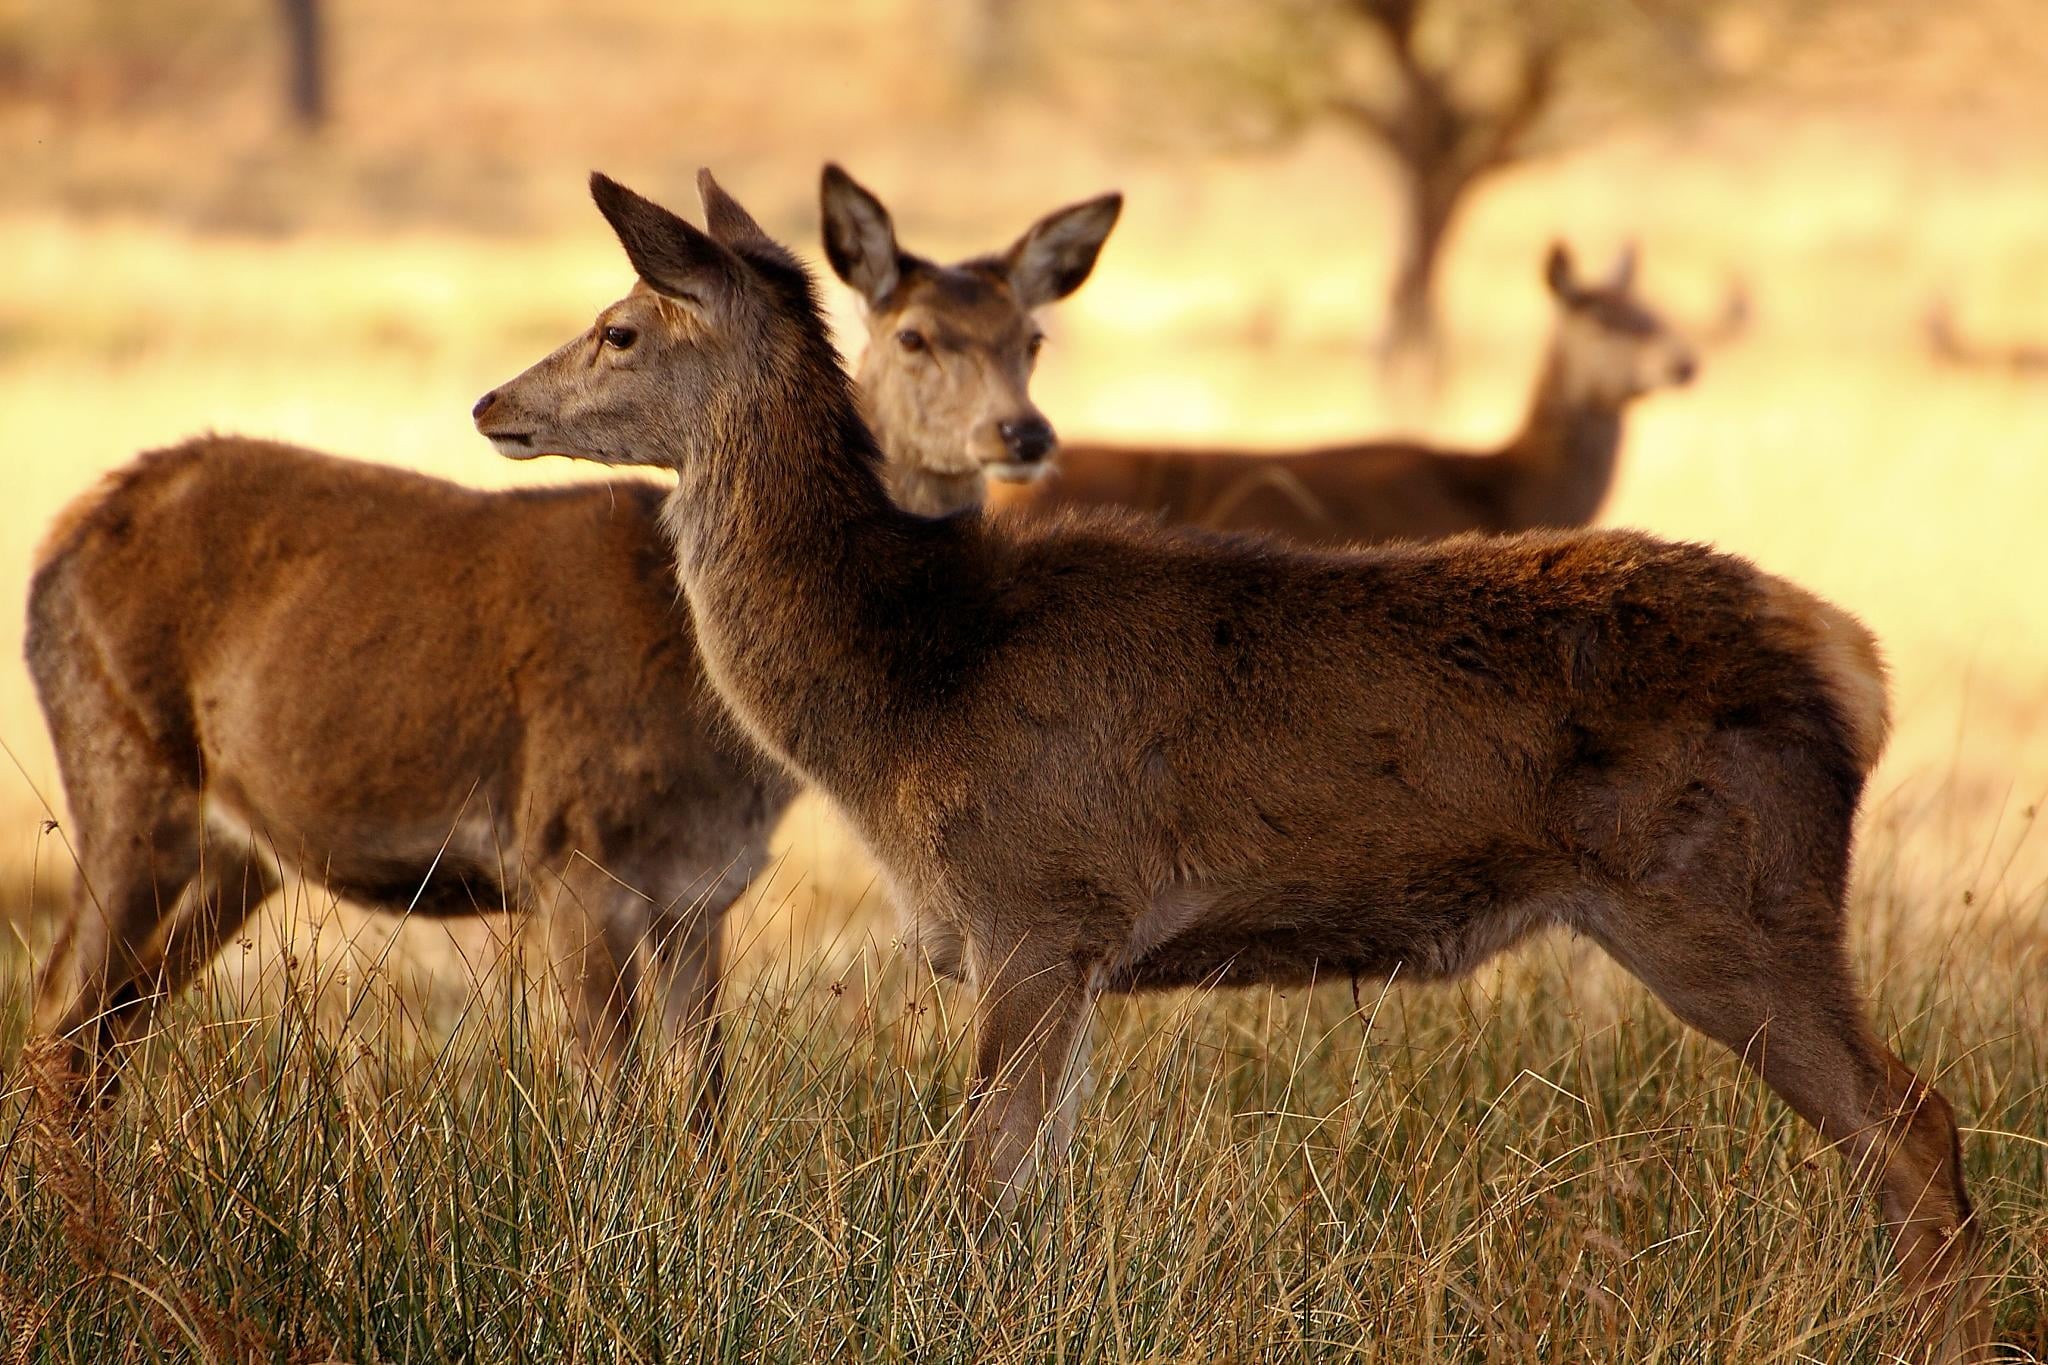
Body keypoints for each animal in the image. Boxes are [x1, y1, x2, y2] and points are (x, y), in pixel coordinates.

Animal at [21, 164, 1119, 1120]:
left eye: (1030, 339)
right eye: (914, 337)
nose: (490, 401)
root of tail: (61, 535)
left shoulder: (701, 891)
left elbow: (703, 1106)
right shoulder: (569, 854)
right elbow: (612, 1109)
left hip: (235, 848)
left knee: (106, 1030)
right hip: (122, 766)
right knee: (61, 1021)